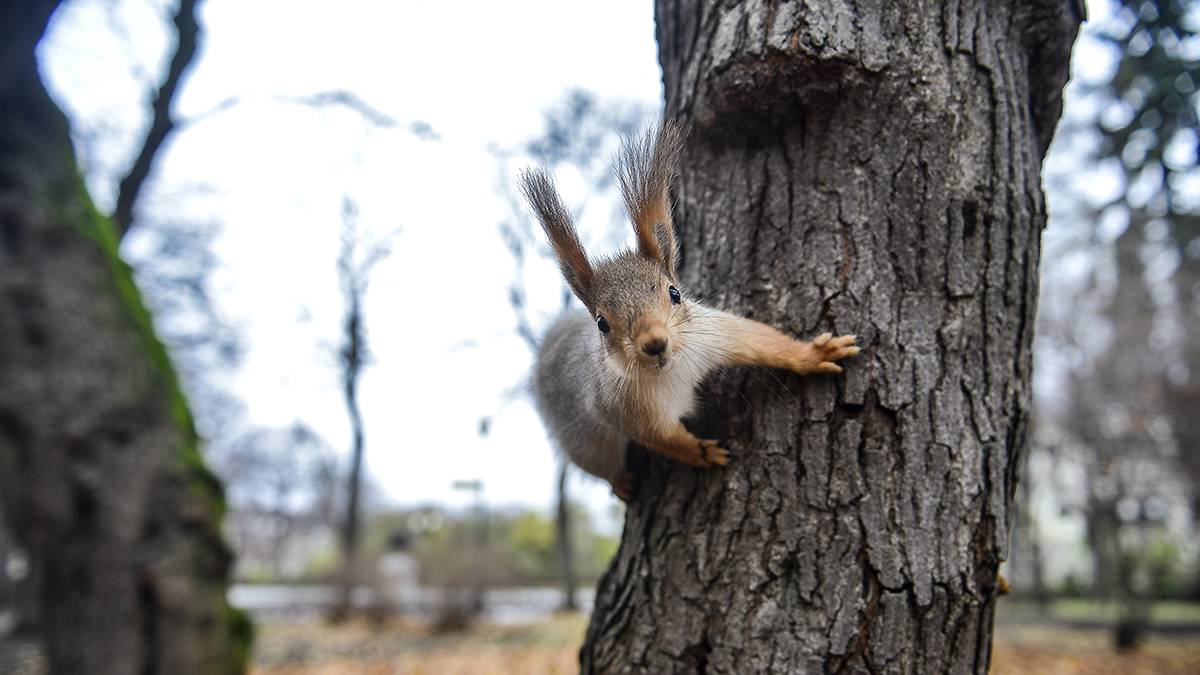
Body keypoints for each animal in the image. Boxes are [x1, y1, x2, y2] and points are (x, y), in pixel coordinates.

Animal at [520, 120, 859, 499]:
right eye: (602, 324)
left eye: (675, 293)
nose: (655, 343)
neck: (671, 370)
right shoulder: (621, 409)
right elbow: (665, 439)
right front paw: (701, 452)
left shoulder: (711, 334)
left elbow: (760, 340)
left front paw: (813, 354)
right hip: (583, 442)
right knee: (599, 463)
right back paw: (620, 482)